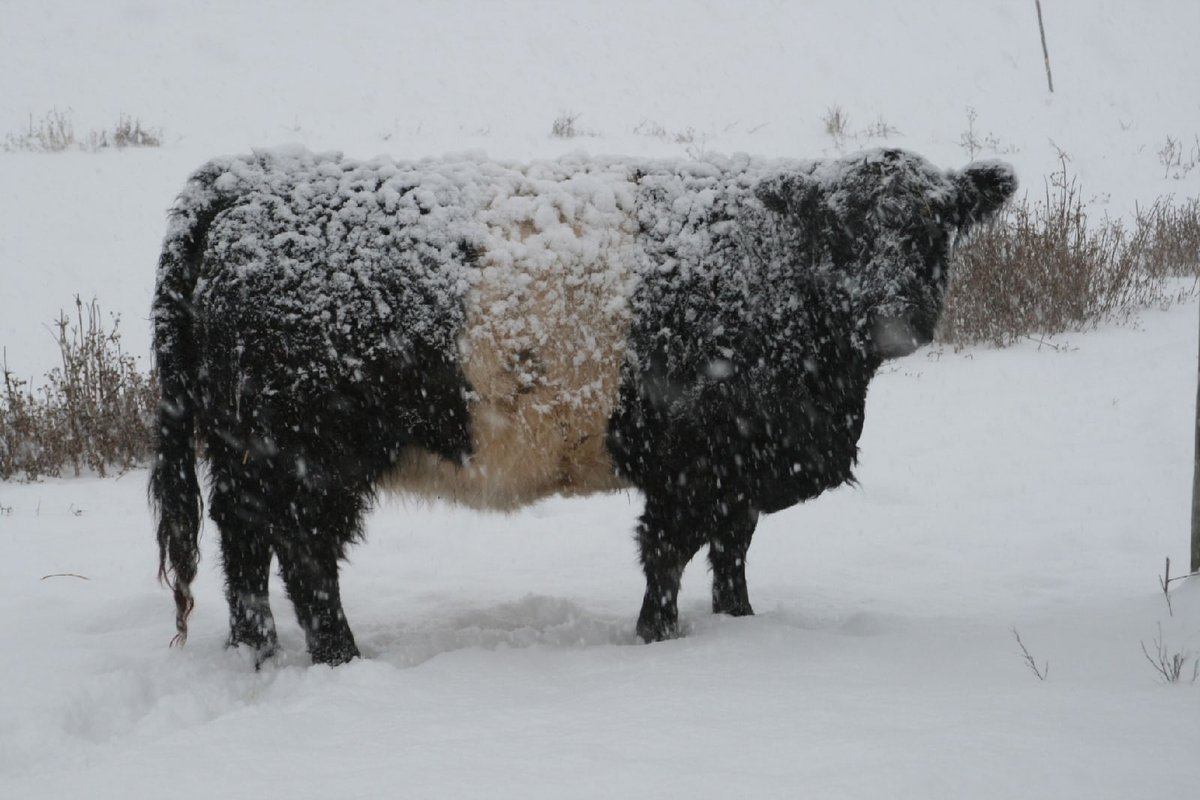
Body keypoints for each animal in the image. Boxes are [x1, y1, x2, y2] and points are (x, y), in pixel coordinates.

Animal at [150, 146, 1015, 665]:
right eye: (842, 230)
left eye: (934, 225)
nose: (893, 309)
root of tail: (246, 178)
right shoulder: (693, 465)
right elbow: (667, 556)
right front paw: (658, 637)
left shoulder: (736, 467)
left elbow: (732, 551)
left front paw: (739, 623)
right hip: (311, 455)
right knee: (303, 555)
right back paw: (340, 656)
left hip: (246, 450)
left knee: (243, 544)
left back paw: (255, 651)